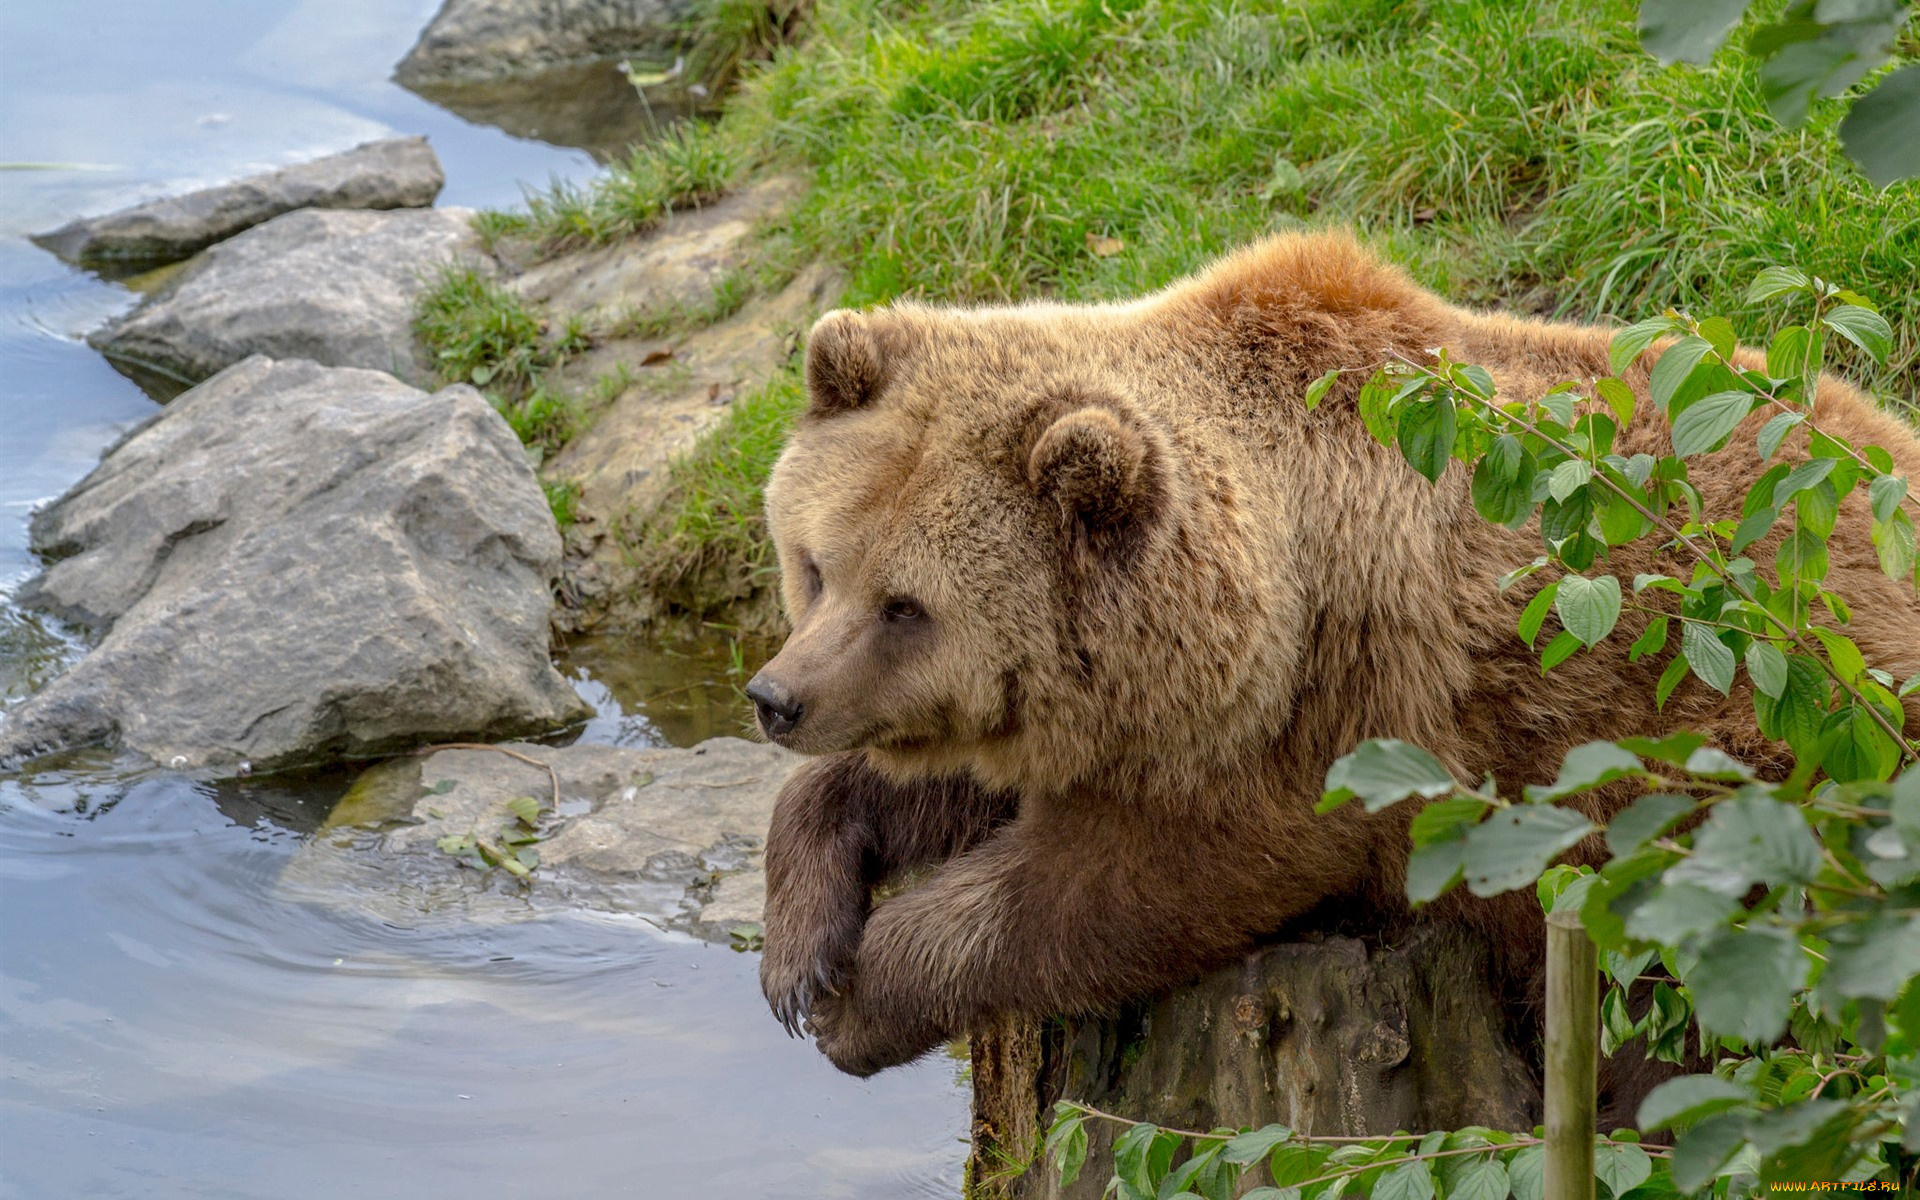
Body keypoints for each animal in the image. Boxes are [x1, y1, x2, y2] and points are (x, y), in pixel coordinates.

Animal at [744, 229, 1920, 1082]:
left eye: (908, 607)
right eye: (816, 564)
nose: (775, 697)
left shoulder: (1325, 725)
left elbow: (1115, 890)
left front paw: (864, 995)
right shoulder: (1110, 713)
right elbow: (945, 779)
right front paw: (801, 949)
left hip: (1758, 766)